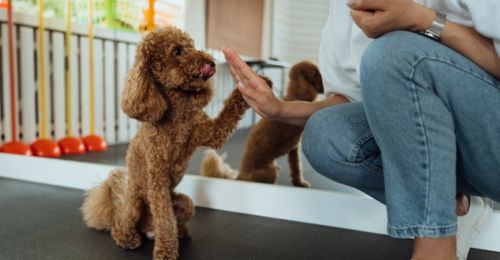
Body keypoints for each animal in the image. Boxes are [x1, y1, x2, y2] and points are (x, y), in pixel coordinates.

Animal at [83, 25, 254, 258]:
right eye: (177, 51)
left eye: (192, 46)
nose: (211, 63)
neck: (177, 112)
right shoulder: (157, 176)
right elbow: (164, 218)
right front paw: (165, 250)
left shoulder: (210, 132)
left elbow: (229, 112)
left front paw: (255, 84)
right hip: (135, 206)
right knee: (121, 223)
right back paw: (128, 238)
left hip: (186, 203)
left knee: (177, 217)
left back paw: (181, 231)